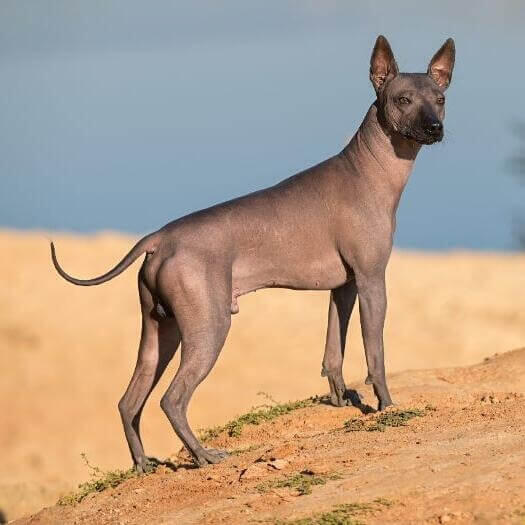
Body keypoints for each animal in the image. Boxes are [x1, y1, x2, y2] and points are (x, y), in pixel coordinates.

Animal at [52, 36, 454, 468]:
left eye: (440, 99)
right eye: (403, 99)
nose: (435, 127)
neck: (368, 170)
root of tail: (160, 237)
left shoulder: (343, 287)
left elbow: (334, 350)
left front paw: (340, 398)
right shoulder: (372, 280)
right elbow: (375, 352)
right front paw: (385, 405)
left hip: (160, 332)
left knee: (129, 402)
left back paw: (143, 465)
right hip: (209, 327)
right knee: (171, 400)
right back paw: (203, 455)